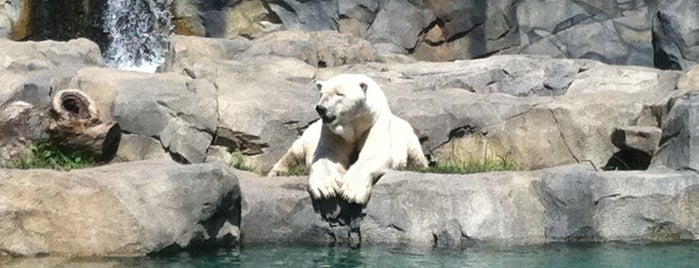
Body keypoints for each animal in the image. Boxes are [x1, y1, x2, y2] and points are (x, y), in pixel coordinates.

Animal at [270, 73, 430, 203]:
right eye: (321, 93)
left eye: (339, 94)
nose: (321, 108)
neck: (355, 125)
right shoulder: (332, 131)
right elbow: (327, 155)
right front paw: (326, 189)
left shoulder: (375, 121)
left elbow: (373, 154)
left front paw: (350, 192)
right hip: (308, 136)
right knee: (293, 153)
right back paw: (277, 173)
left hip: (409, 137)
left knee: (417, 156)